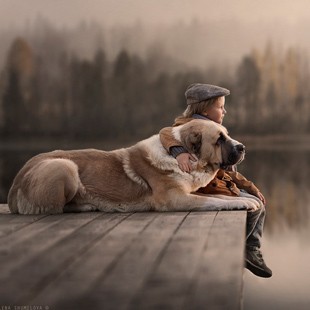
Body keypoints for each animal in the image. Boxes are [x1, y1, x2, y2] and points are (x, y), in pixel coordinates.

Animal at [7, 120, 260, 214]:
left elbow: (220, 197)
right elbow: (215, 200)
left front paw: (247, 199)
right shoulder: (174, 199)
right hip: (64, 166)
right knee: (54, 209)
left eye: (226, 134)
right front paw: (245, 202)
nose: (242, 147)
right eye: (219, 140)